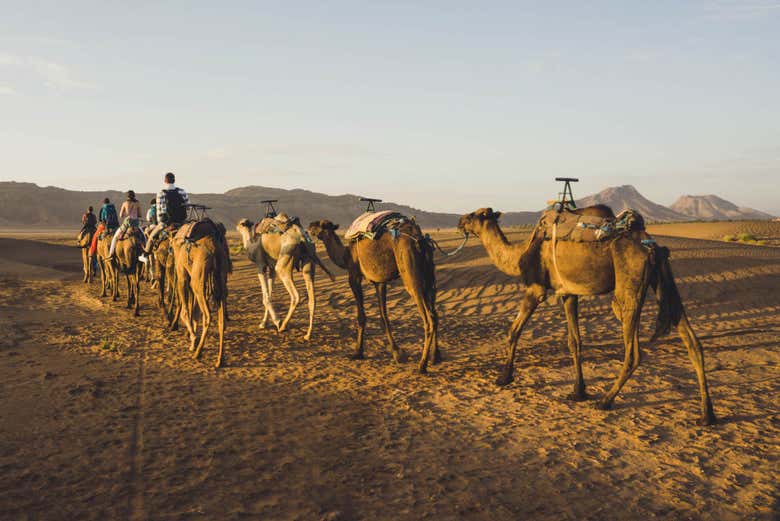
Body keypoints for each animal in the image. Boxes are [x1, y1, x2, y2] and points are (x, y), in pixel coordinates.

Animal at [171, 221, 229, 368]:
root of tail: (214, 250)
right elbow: (195, 311)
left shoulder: (182, 274)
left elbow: (185, 311)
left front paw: (193, 339)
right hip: (219, 277)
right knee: (221, 320)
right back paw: (220, 360)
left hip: (198, 279)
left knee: (208, 315)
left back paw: (198, 352)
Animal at [306, 217, 438, 372]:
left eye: (320, 225)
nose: (309, 226)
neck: (345, 256)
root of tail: (420, 240)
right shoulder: (379, 282)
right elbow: (384, 317)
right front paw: (397, 353)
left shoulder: (354, 276)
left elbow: (361, 316)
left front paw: (357, 352)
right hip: (429, 276)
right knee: (435, 315)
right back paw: (435, 356)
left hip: (410, 272)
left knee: (428, 319)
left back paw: (422, 365)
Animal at [458, 205, 720, 424]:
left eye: (476, 214)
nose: (460, 221)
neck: (521, 252)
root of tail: (652, 246)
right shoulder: (568, 293)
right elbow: (574, 341)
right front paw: (578, 391)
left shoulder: (536, 288)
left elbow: (513, 331)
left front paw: (504, 377)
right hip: (663, 278)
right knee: (692, 342)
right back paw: (706, 415)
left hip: (629, 286)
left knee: (633, 352)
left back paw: (606, 401)